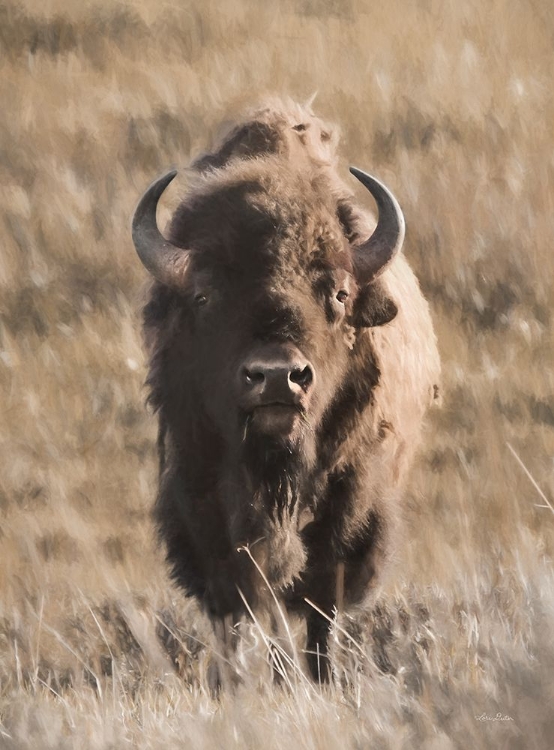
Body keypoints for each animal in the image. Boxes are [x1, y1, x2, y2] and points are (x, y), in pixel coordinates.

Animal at [132, 101, 438, 688]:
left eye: (338, 293)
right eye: (204, 294)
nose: (277, 377)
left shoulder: (349, 512)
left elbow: (321, 605)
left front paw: (317, 679)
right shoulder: (204, 513)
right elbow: (245, 603)